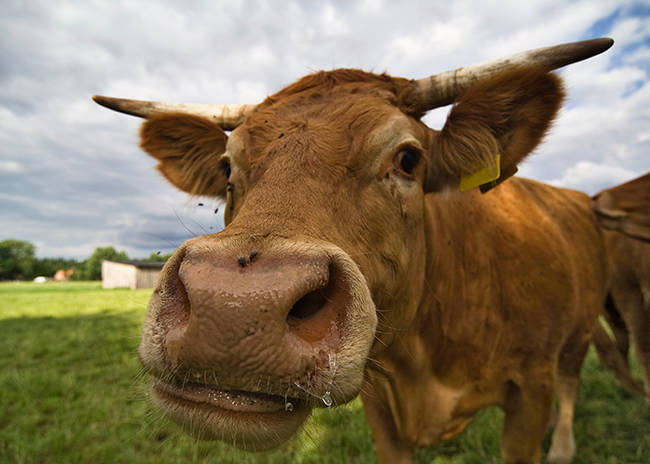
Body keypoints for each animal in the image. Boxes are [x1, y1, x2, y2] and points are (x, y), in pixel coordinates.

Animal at [94, 38, 614, 464]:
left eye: (408, 159)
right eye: (226, 167)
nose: (232, 307)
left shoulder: (531, 386)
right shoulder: (381, 404)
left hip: (578, 332)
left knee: (571, 380)